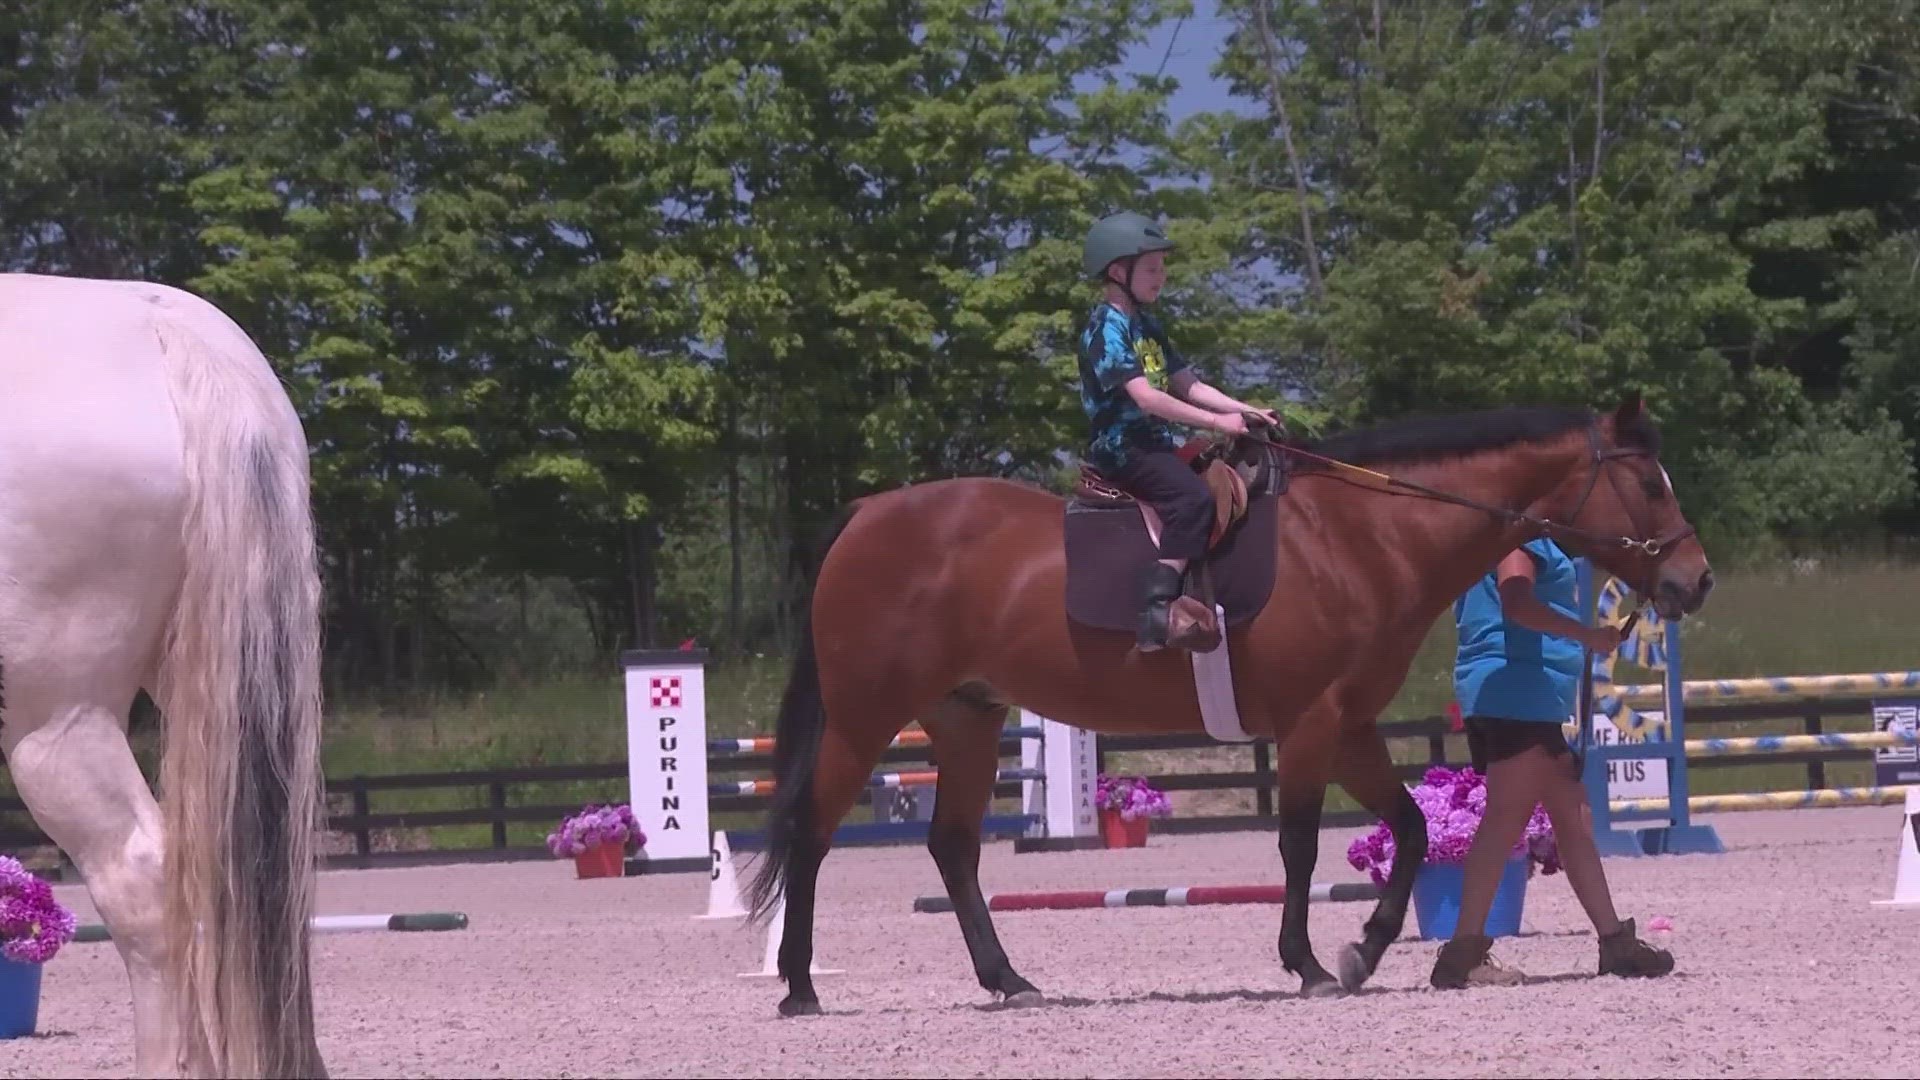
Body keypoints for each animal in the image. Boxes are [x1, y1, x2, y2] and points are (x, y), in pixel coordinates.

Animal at [744, 395, 1712, 1006]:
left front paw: (1364, 949)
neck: (1361, 538)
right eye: (1649, 483)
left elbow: (1409, 829)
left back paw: (1009, 982)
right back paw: (799, 985)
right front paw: (1311, 963)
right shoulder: (1312, 725)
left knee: (952, 849)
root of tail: (868, 514)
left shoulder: (1350, 725)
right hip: (868, 719)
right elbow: (1297, 846)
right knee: (814, 835)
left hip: (966, 719)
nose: (1694, 581)